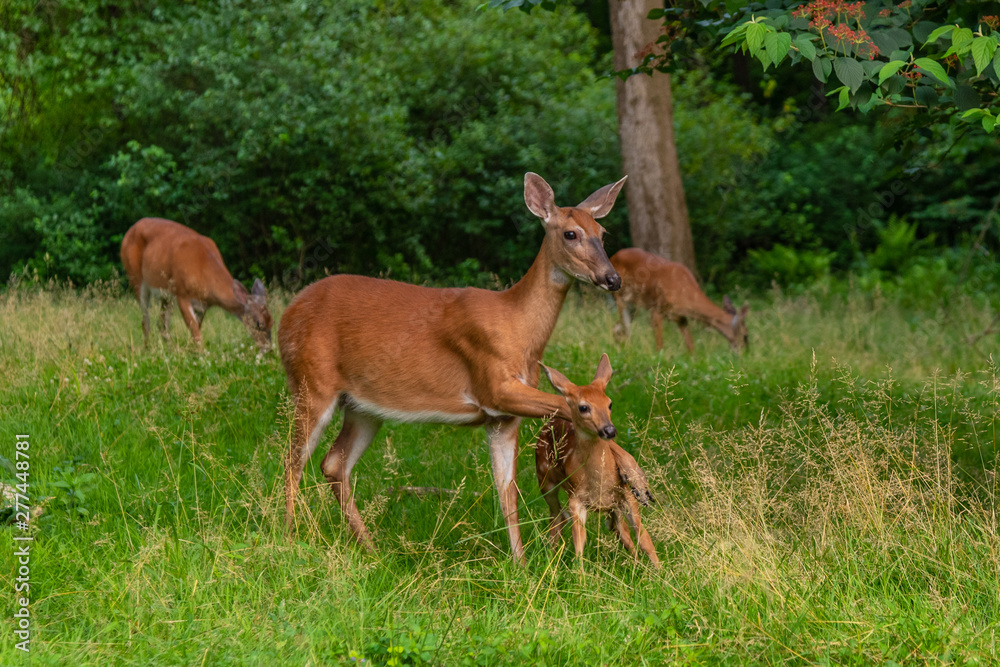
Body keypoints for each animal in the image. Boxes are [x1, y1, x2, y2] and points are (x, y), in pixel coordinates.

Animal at [120, 219, 274, 354]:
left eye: (272, 322)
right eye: (258, 323)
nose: (268, 349)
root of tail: (130, 230)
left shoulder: (202, 305)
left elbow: (196, 330)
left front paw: (192, 352)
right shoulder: (182, 294)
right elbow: (196, 333)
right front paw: (201, 356)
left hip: (166, 294)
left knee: (162, 324)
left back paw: (171, 350)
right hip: (135, 277)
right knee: (146, 321)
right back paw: (147, 350)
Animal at [278, 174, 624, 564]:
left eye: (602, 231)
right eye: (570, 233)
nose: (612, 279)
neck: (518, 327)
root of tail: (286, 316)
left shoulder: (502, 418)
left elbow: (507, 491)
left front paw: (520, 562)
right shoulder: (494, 386)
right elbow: (564, 405)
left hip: (362, 407)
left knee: (334, 463)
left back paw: (370, 548)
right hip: (312, 382)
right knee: (292, 460)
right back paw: (289, 537)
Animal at [536, 354, 660, 568]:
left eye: (609, 403)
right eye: (583, 407)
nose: (609, 430)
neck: (600, 480)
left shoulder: (625, 495)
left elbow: (643, 537)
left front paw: (661, 571)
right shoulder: (576, 500)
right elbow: (579, 544)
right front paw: (580, 575)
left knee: (623, 533)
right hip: (545, 480)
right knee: (557, 518)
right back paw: (551, 562)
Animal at [608, 248, 752, 354]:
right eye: (746, 335)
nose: (746, 353)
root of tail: (613, 257)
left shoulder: (681, 317)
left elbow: (691, 347)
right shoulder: (656, 309)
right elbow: (659, 347)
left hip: (634, 306)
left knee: (617, 328)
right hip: (620, 298)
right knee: (625, 330)